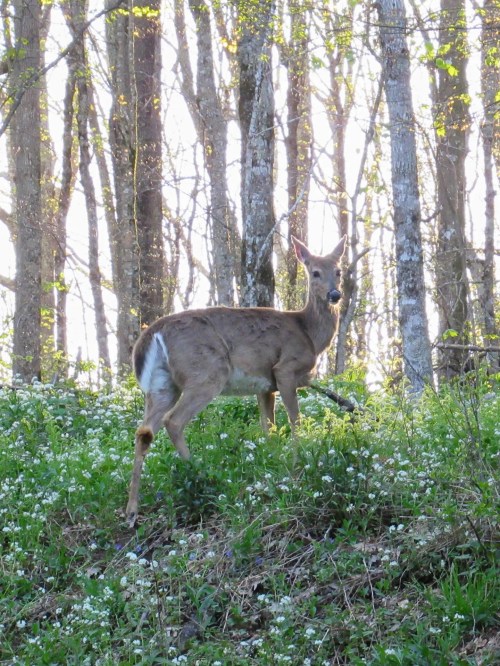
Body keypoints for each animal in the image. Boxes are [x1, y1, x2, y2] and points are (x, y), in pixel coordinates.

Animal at [126, 235, 347, 526]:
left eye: (339, 271)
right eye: (315, 272)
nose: (335, 294)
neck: (308, 333)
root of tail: (151, 333)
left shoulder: (266, 386)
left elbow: (268, 428)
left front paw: (271, 461)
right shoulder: (285, 369)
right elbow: (295, 421)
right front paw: (298, 460)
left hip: (162, 385)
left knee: (144, 431)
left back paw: (132, 510)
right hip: (207, 372)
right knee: (173, 421)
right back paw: (199, 474)